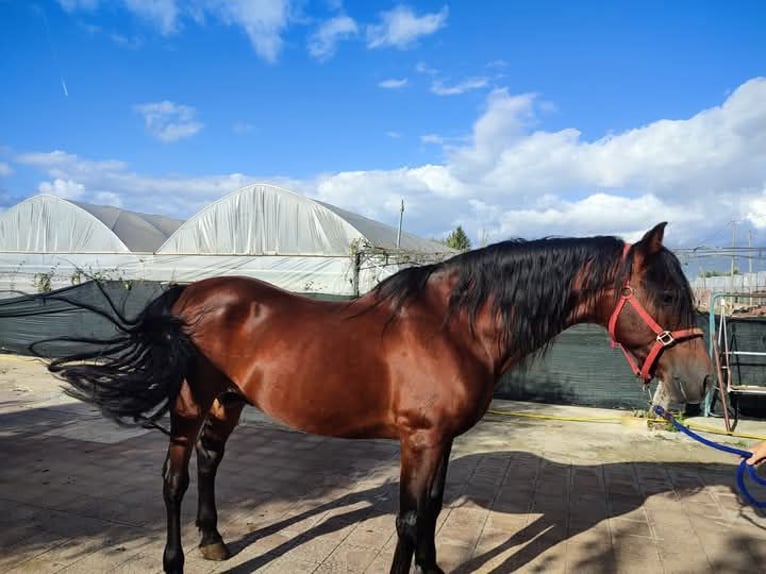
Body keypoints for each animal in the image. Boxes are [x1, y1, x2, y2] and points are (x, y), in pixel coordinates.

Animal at [45, 222, 712, 574]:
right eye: (668, 295)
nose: (699, 382)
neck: (453, 325)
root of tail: (186, 294)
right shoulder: (418, 439)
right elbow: (410, 519)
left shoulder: (439, 441)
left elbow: (430, 514)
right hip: (188, 405)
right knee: (175, 478)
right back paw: (176, 558)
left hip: (227, 401)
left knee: (209, 463)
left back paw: (213, 540)